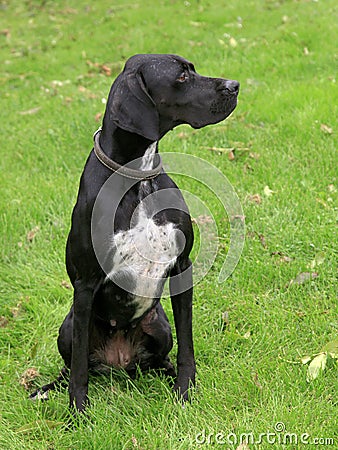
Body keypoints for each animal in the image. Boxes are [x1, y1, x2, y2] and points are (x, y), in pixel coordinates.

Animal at [30, 53, 239, 412]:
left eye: (192, 68)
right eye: (181, 77)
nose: (235, 85)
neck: (137, 178)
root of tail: (119, 362)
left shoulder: (182, 266)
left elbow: (187, 345)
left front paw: (185, 391)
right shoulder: (85, 283)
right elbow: (79, 369)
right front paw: (78, 412)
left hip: (159, 325)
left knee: (159, 359)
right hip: (69, 326)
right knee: (73, 365)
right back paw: (46, 388)